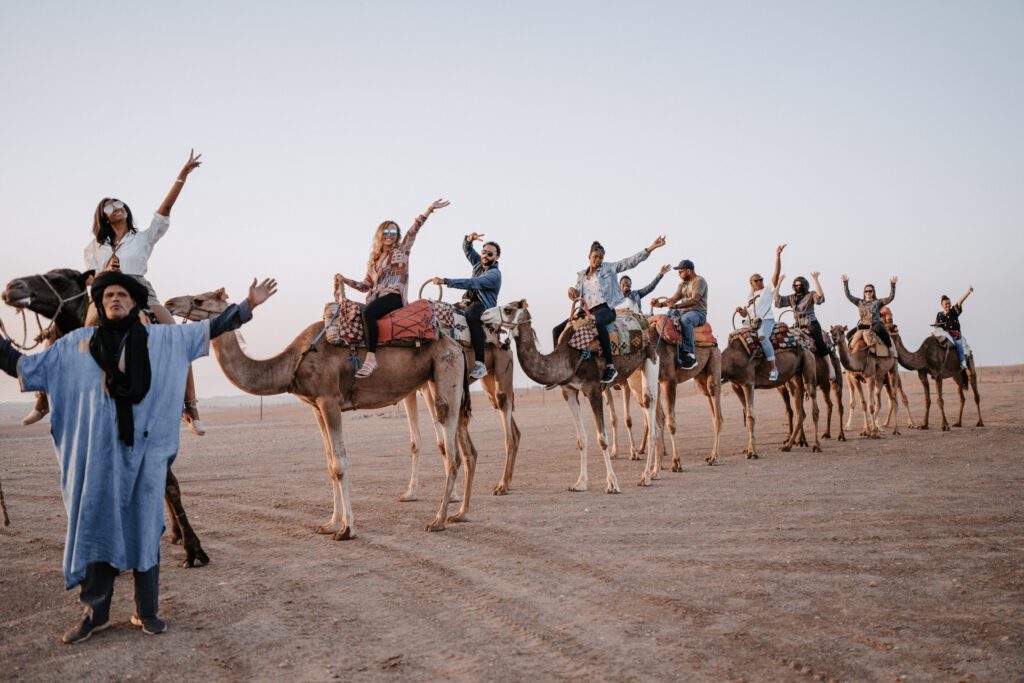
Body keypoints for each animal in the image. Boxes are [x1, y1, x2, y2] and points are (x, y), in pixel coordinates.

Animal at [164, 286, 475, 536]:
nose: (169, 303)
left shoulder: (328, 400)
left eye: (199, 299)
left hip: (445, 373)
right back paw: (458, 513)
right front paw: (329, 524)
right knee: (461, 449)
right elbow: (328, 464)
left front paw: (347, 529)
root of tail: (454, 343)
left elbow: (339, 464)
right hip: (433, 380)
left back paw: (438, 520)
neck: (293, 361)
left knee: (453, 453)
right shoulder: (315, 407)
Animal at [481, 301, 663, 489]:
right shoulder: (568, 391)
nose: (484, 315)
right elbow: (581, 439)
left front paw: (612, 483)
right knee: (655, 421)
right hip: (635, 373)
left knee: (650, 410)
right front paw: (580, 483)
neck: (569, 358)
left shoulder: (594, 389)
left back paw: (646, 477)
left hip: (650, 359)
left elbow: (602, 438)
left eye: (508, 310)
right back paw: (654, 472)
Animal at [720, 325, 823, 458]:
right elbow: (747, 412)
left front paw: (752, 452)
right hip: (794, 376)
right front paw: (748, 450)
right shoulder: (736, 386)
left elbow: (750, 416)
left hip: (808, 361)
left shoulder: (748, 382)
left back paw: (816, 446)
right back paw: (787, 446)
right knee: (800, 412)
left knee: (813, 405)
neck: (732, 356)